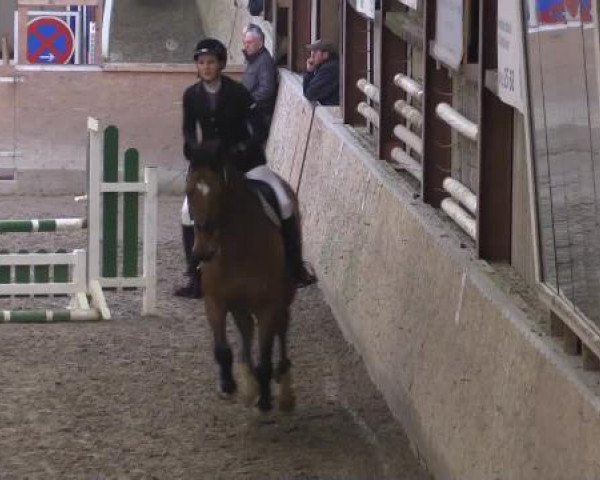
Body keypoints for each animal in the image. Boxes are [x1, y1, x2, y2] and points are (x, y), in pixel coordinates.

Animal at [186, 142, 298, 412]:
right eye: (188, 191)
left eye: (219, 192)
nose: (203, 251)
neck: (237, 248)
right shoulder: (215, 302)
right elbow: (222, 349)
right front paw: (229, 386)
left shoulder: (267, 306)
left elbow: (265, 356)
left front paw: (265, 400)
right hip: (239, 303)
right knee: (246, 328)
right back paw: (249, 381)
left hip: (283, 297)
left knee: (281, 328)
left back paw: (284, 388)